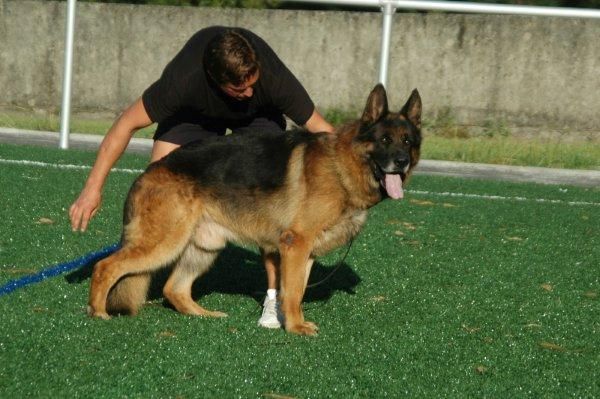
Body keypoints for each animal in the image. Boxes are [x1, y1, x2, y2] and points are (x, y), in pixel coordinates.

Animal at [88, 85, 422, 338]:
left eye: (407, 141)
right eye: (384, 140)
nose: (402, 161)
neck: (343, 166)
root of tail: (147, 173)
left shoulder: (305, 254)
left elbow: (297, 289)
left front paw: (292, 321)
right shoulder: (295, 245)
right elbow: (293, 292)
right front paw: (296, 328)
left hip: (204, 247)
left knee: (174, 289)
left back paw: (204, 314)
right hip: (164, 243)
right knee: (106, 266)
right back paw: (98, 313)